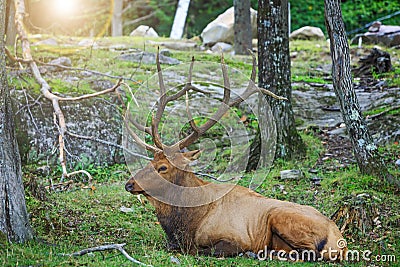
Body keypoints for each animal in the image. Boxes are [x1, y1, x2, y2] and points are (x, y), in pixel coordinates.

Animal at [125, 52, 346, 262]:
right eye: (151, 161)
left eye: (163, 167)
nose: (129, 184)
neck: (188, 220)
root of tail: (341, 243)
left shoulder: (237, 238)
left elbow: (205, 250)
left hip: (281, 216)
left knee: (310, 253)